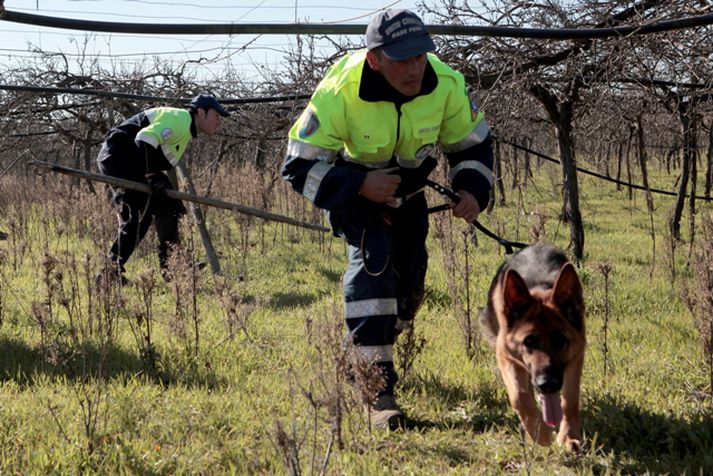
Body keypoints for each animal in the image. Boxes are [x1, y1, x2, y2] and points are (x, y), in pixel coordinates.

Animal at [478, 244, 584, 452]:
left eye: (561, 341)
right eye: (528, 341)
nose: (548, 384)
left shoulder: (576, 357)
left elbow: (570, 399)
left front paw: (568, 437)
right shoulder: (506, 356)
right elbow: (519, 396)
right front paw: (540, 433)